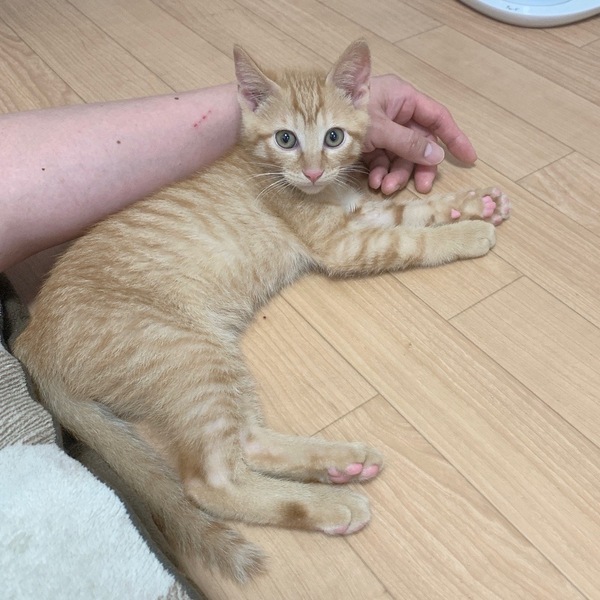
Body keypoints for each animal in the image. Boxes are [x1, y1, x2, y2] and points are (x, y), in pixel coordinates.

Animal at [13, 40, 510, 586]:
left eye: (334, 137)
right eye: (286, 139)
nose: (312, 171)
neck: (313, 188)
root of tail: (31, 342)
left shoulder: (362, 212)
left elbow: (410, 210)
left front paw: (471, 203)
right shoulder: (342, 244)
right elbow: (408, 239)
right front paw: (466, 233)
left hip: (214, 356)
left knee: (247, 441)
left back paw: (340, 464)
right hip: (188, 351)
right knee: (210, 481)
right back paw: (331, 504)